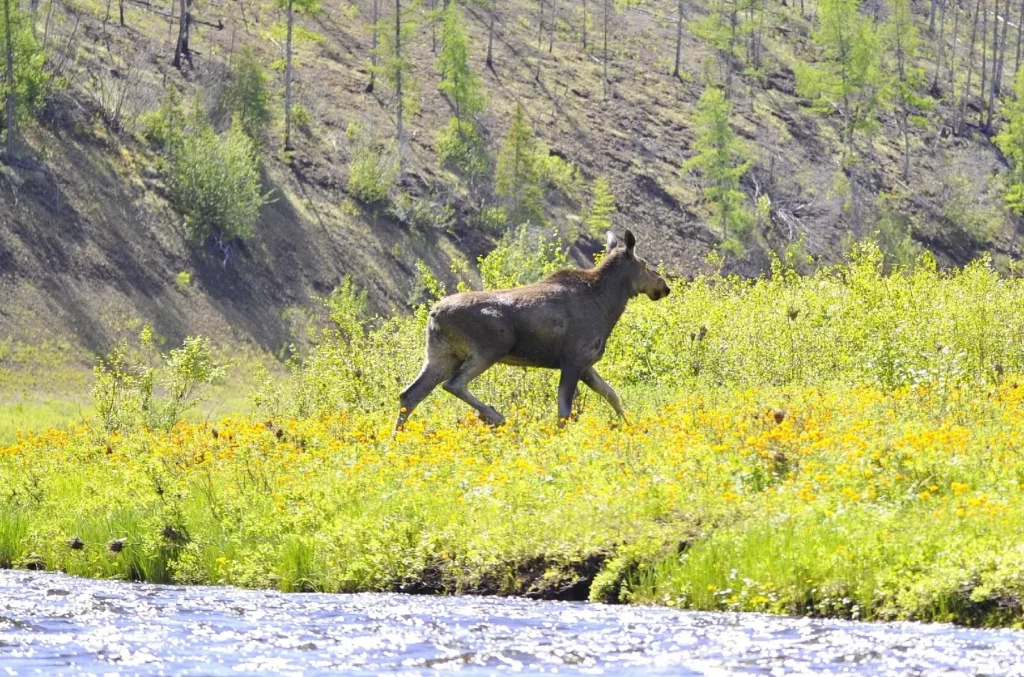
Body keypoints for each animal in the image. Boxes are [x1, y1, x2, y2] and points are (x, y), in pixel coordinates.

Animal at [394, 230, 671, 431]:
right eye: (644, 264)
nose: (664, 286)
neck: (608, 305)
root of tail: (433, 314)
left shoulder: (586, 365)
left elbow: (611, 394)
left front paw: (629, 426)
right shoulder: (573, 360)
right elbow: (564, 410)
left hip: (441, 354)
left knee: (409, 394)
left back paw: (396, 441)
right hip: (490, 348)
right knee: (453, 383)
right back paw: (496, 416)